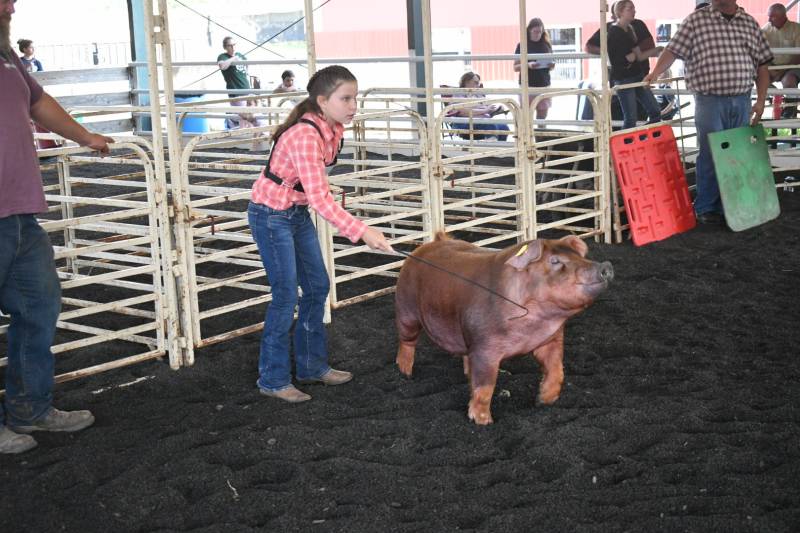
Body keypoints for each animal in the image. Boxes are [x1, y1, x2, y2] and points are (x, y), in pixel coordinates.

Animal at [396, 233, 612, 424]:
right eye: (555, 260)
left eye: (580, 256)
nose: (606, 265)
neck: (535, 325)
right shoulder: (484, 348)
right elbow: (485, 387)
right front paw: (483, 421)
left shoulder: (551, 339)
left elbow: (557, 370)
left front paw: (543, 402)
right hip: (407, 310)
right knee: (407, 341)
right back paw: (406, 373)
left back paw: (465, 372)